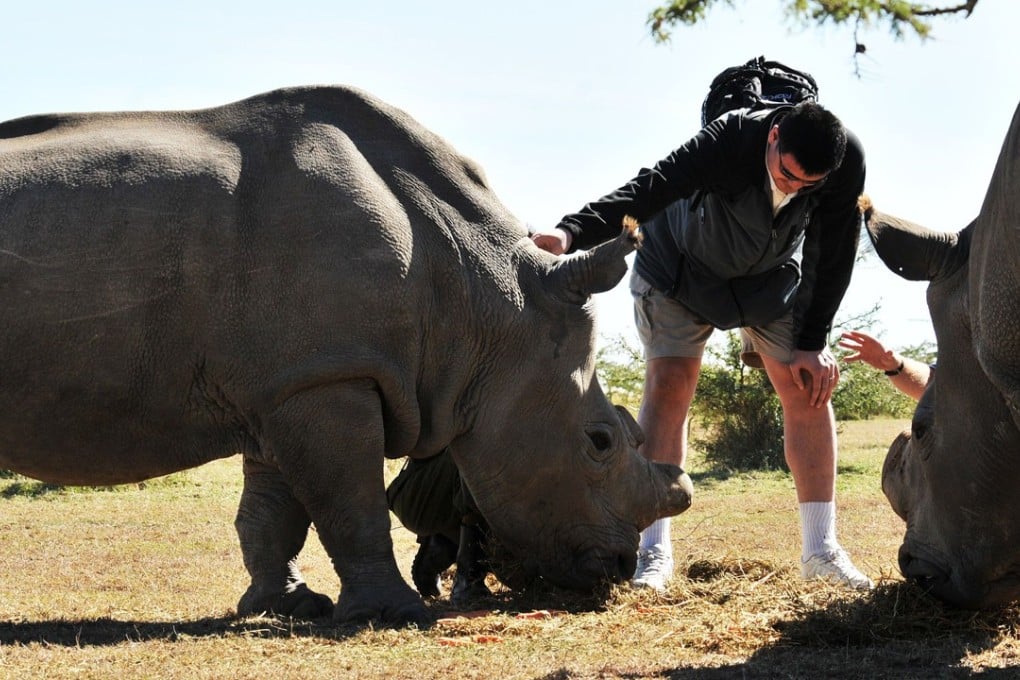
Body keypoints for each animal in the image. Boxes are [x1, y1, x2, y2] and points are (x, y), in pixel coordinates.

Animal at [0, 86, 693, 626]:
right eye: (600, 441)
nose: (616, 569)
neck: (484, 296)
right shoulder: (327, 378)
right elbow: (353, 503)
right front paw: (396, 614)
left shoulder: (287, 379)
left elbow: (274, 512)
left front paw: (287, 606)